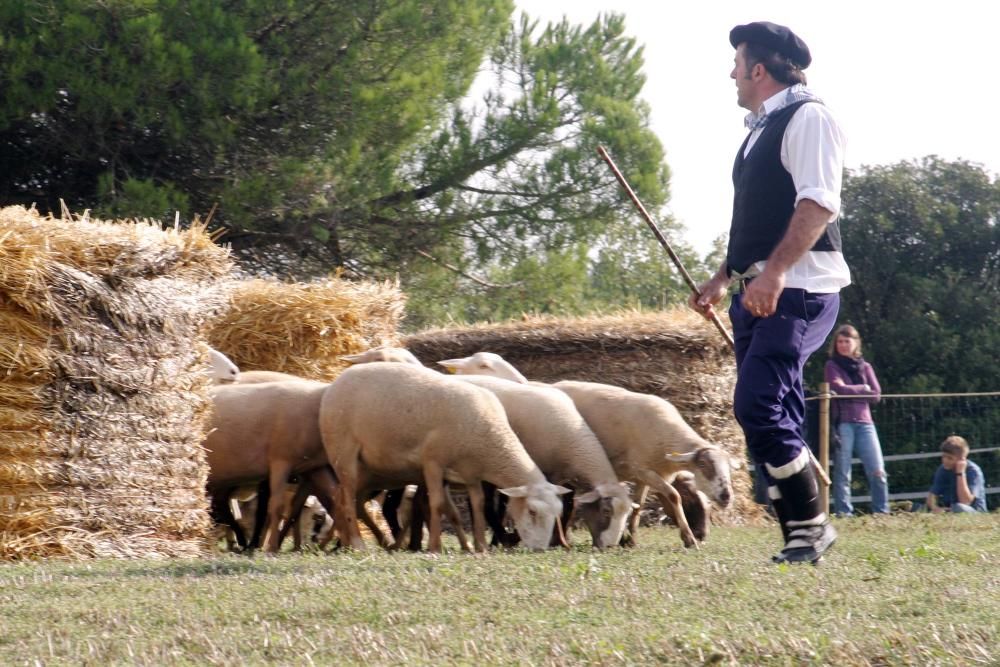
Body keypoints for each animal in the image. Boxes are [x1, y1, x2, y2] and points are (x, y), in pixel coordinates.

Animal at [320, 362, 572, 556]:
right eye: (532, 511)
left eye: (557, 513)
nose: (539, 549)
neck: (491, 438)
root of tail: (341, 377)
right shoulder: (433, 463)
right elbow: (437, 503)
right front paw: (435, 546)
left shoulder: (471, 473)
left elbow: (478, 504)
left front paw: (480, 546)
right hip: (344, 453)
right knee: (347, 498)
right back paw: (357, 544)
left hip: (369, 469)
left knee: (343, 498)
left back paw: (349, 543)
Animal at [432, 368, 632, 552]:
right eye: (606, 511)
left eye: (627, 514)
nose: (610, 546)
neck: (572, 440)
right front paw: (553, 541)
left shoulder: (560, 476)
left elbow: (566, 506)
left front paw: (560, 541)